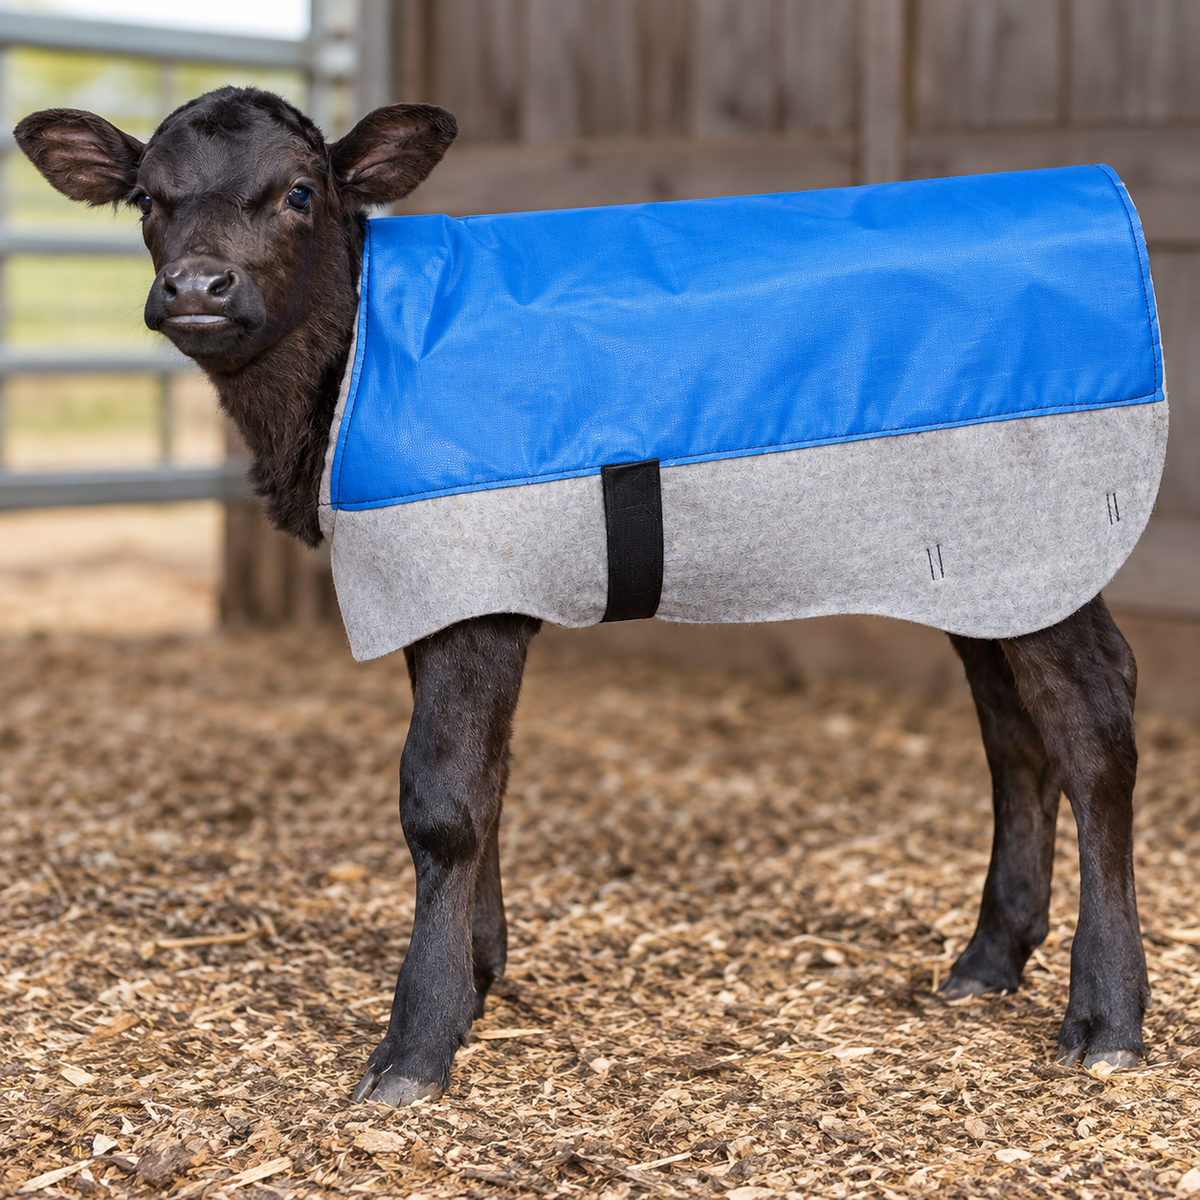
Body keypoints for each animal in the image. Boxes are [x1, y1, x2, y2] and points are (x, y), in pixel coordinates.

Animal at [13, 87, 1163, 1106]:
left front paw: (417, 1045)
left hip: (1048, 524)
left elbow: (441, 801)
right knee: (1013, 732)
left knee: (1094, 721)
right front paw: (479, 976)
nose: (198, 287)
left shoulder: (471, 586)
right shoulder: (442, 583)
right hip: (979, 561)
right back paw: (988, 961)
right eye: (148, 196)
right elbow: (489, 779)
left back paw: (1106, 1019)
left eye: (299, 190)